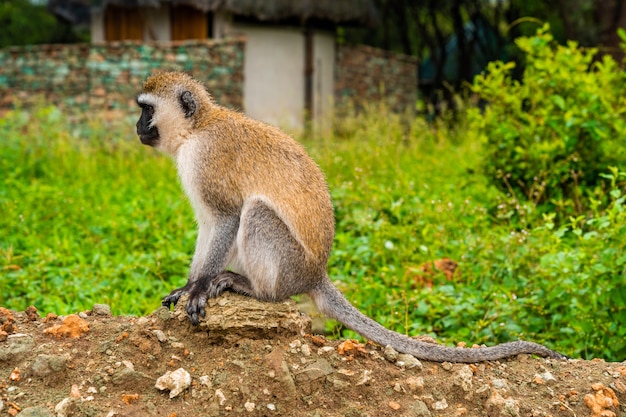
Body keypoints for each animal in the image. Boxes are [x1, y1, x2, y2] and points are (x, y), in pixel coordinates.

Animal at [134, 70, 564, 360]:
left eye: (147, 109)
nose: (136, 126)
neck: (197, 129)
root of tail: (316, 273)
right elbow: (208, 225)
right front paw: (186, 285)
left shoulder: (206, 160)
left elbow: (226, 218)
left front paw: (198, 287)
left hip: (289, 264)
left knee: (256, 213)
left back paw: (256, 290)